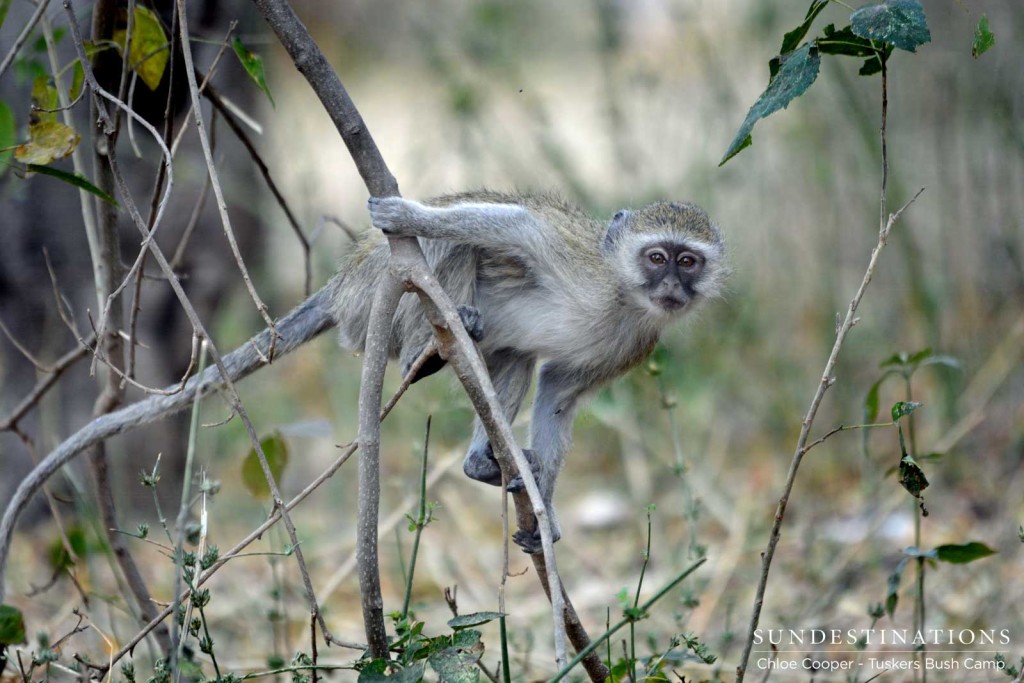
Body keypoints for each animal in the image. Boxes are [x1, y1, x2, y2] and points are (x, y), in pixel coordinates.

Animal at [331, 192, 724, 557]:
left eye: (687, 262)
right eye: (657, 258)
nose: (671, 286)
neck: (623, 297)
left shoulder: (635, 345)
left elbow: (557, 394)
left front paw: (544, 513)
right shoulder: (576, 261)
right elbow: (519, 227)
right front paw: (404, 215)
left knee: (516, 358)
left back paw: (482, 464)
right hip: (368, 301)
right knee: (453, 247)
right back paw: (423, 353)